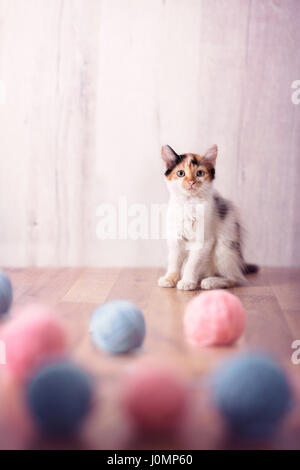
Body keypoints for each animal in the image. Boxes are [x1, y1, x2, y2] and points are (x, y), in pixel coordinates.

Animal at [158, 144, 256, 290]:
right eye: (181, 173)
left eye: (199, 173)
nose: (191, 182)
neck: (189, 203)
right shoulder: (176, 237)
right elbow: (174, 260)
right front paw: (170, 278)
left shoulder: (204, 240)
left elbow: (192, 263)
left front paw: (187, 282)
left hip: (225, 248)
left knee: (234, 278)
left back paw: (211, 281)